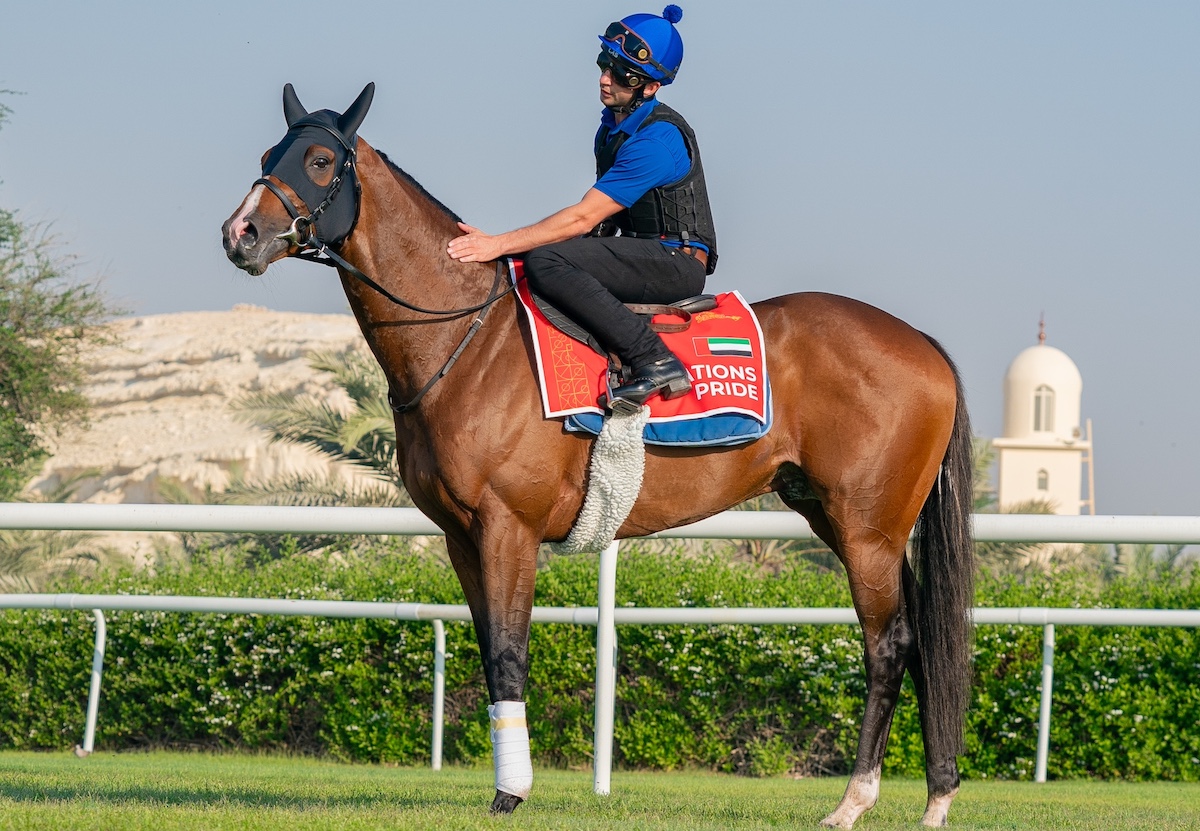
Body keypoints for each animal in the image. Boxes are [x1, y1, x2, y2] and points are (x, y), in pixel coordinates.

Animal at [223, 82, 974, 826]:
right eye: (265, 156)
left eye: (320, 160)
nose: (240, 234)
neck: (468, 336)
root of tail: (922, 343)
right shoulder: (462, 538)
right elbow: (489, 655)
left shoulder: (508, 529)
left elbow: (509, 652)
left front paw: (511, 790)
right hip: (847, 522)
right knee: (921, 643)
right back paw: (935, 794)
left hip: (867, 530)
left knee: (889, 646)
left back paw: (854, 801)